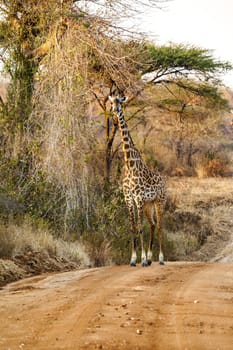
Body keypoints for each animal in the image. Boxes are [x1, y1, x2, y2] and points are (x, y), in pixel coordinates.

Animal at [108, 92, 167, 266]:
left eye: (120, 102)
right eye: (111, 102)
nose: (115, 110)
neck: (130, 164)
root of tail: (164, 181)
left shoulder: (139, 198)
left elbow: (140, 227)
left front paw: (142, 259)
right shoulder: (129, 198)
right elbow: (133, 227)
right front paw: (134, 259)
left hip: (160, 201)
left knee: (159, 225)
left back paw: (160, 258)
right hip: (149, 204)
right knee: (153, 224)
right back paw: (150, 257)